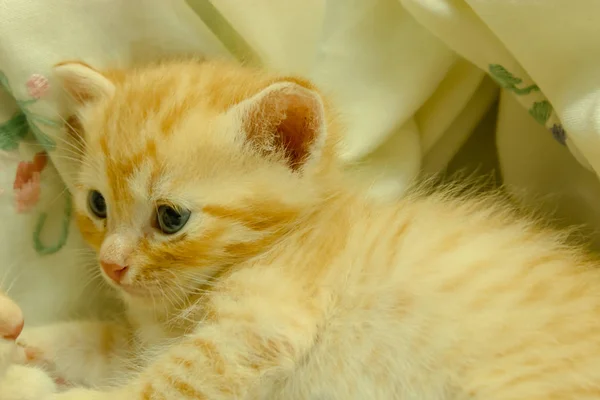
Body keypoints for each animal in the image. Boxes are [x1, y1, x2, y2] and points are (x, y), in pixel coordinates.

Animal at [7, 57, 600, 400]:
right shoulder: (145, 339)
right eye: (97, 204)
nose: (112, 264)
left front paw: (40, 389)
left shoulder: (259, 329)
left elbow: (155, 385)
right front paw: (23, 341)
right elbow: (96, 340)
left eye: (170, 218)